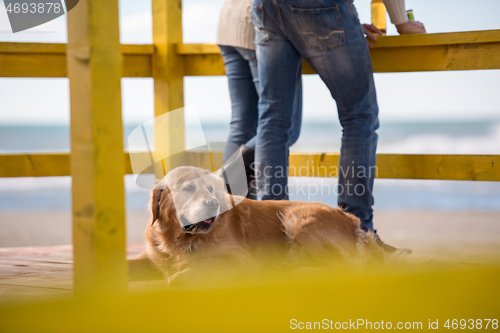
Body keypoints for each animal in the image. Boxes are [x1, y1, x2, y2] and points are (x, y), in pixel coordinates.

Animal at [132, 165, 442, 284]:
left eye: (211, 188)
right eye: (187, 189)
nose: (213, 204)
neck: (179, 239)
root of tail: (353, 222)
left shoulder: (240, 259)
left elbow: (194, 268)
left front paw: (181, 274)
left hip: (297, 218)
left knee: (345, 268)